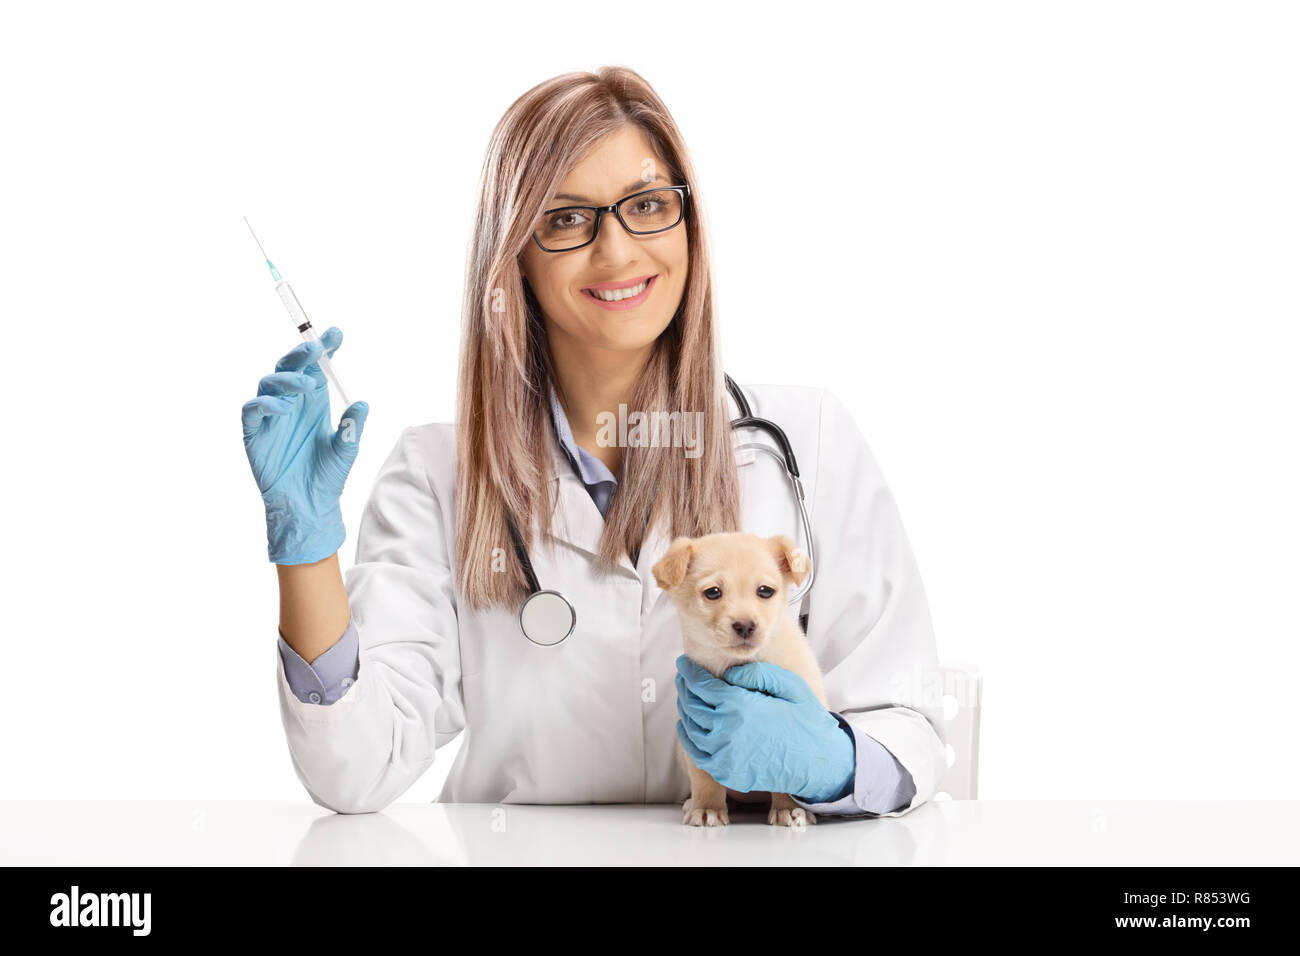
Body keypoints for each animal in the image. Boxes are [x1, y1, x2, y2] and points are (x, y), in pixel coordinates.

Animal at [655, 530, 826, 832]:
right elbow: (705, 779)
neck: (738, 667)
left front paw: (789, 809)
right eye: (713, 592)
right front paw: (707, 808)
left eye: (765, 591)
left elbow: (789, 772)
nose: (745, 625)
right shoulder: (699, 738)